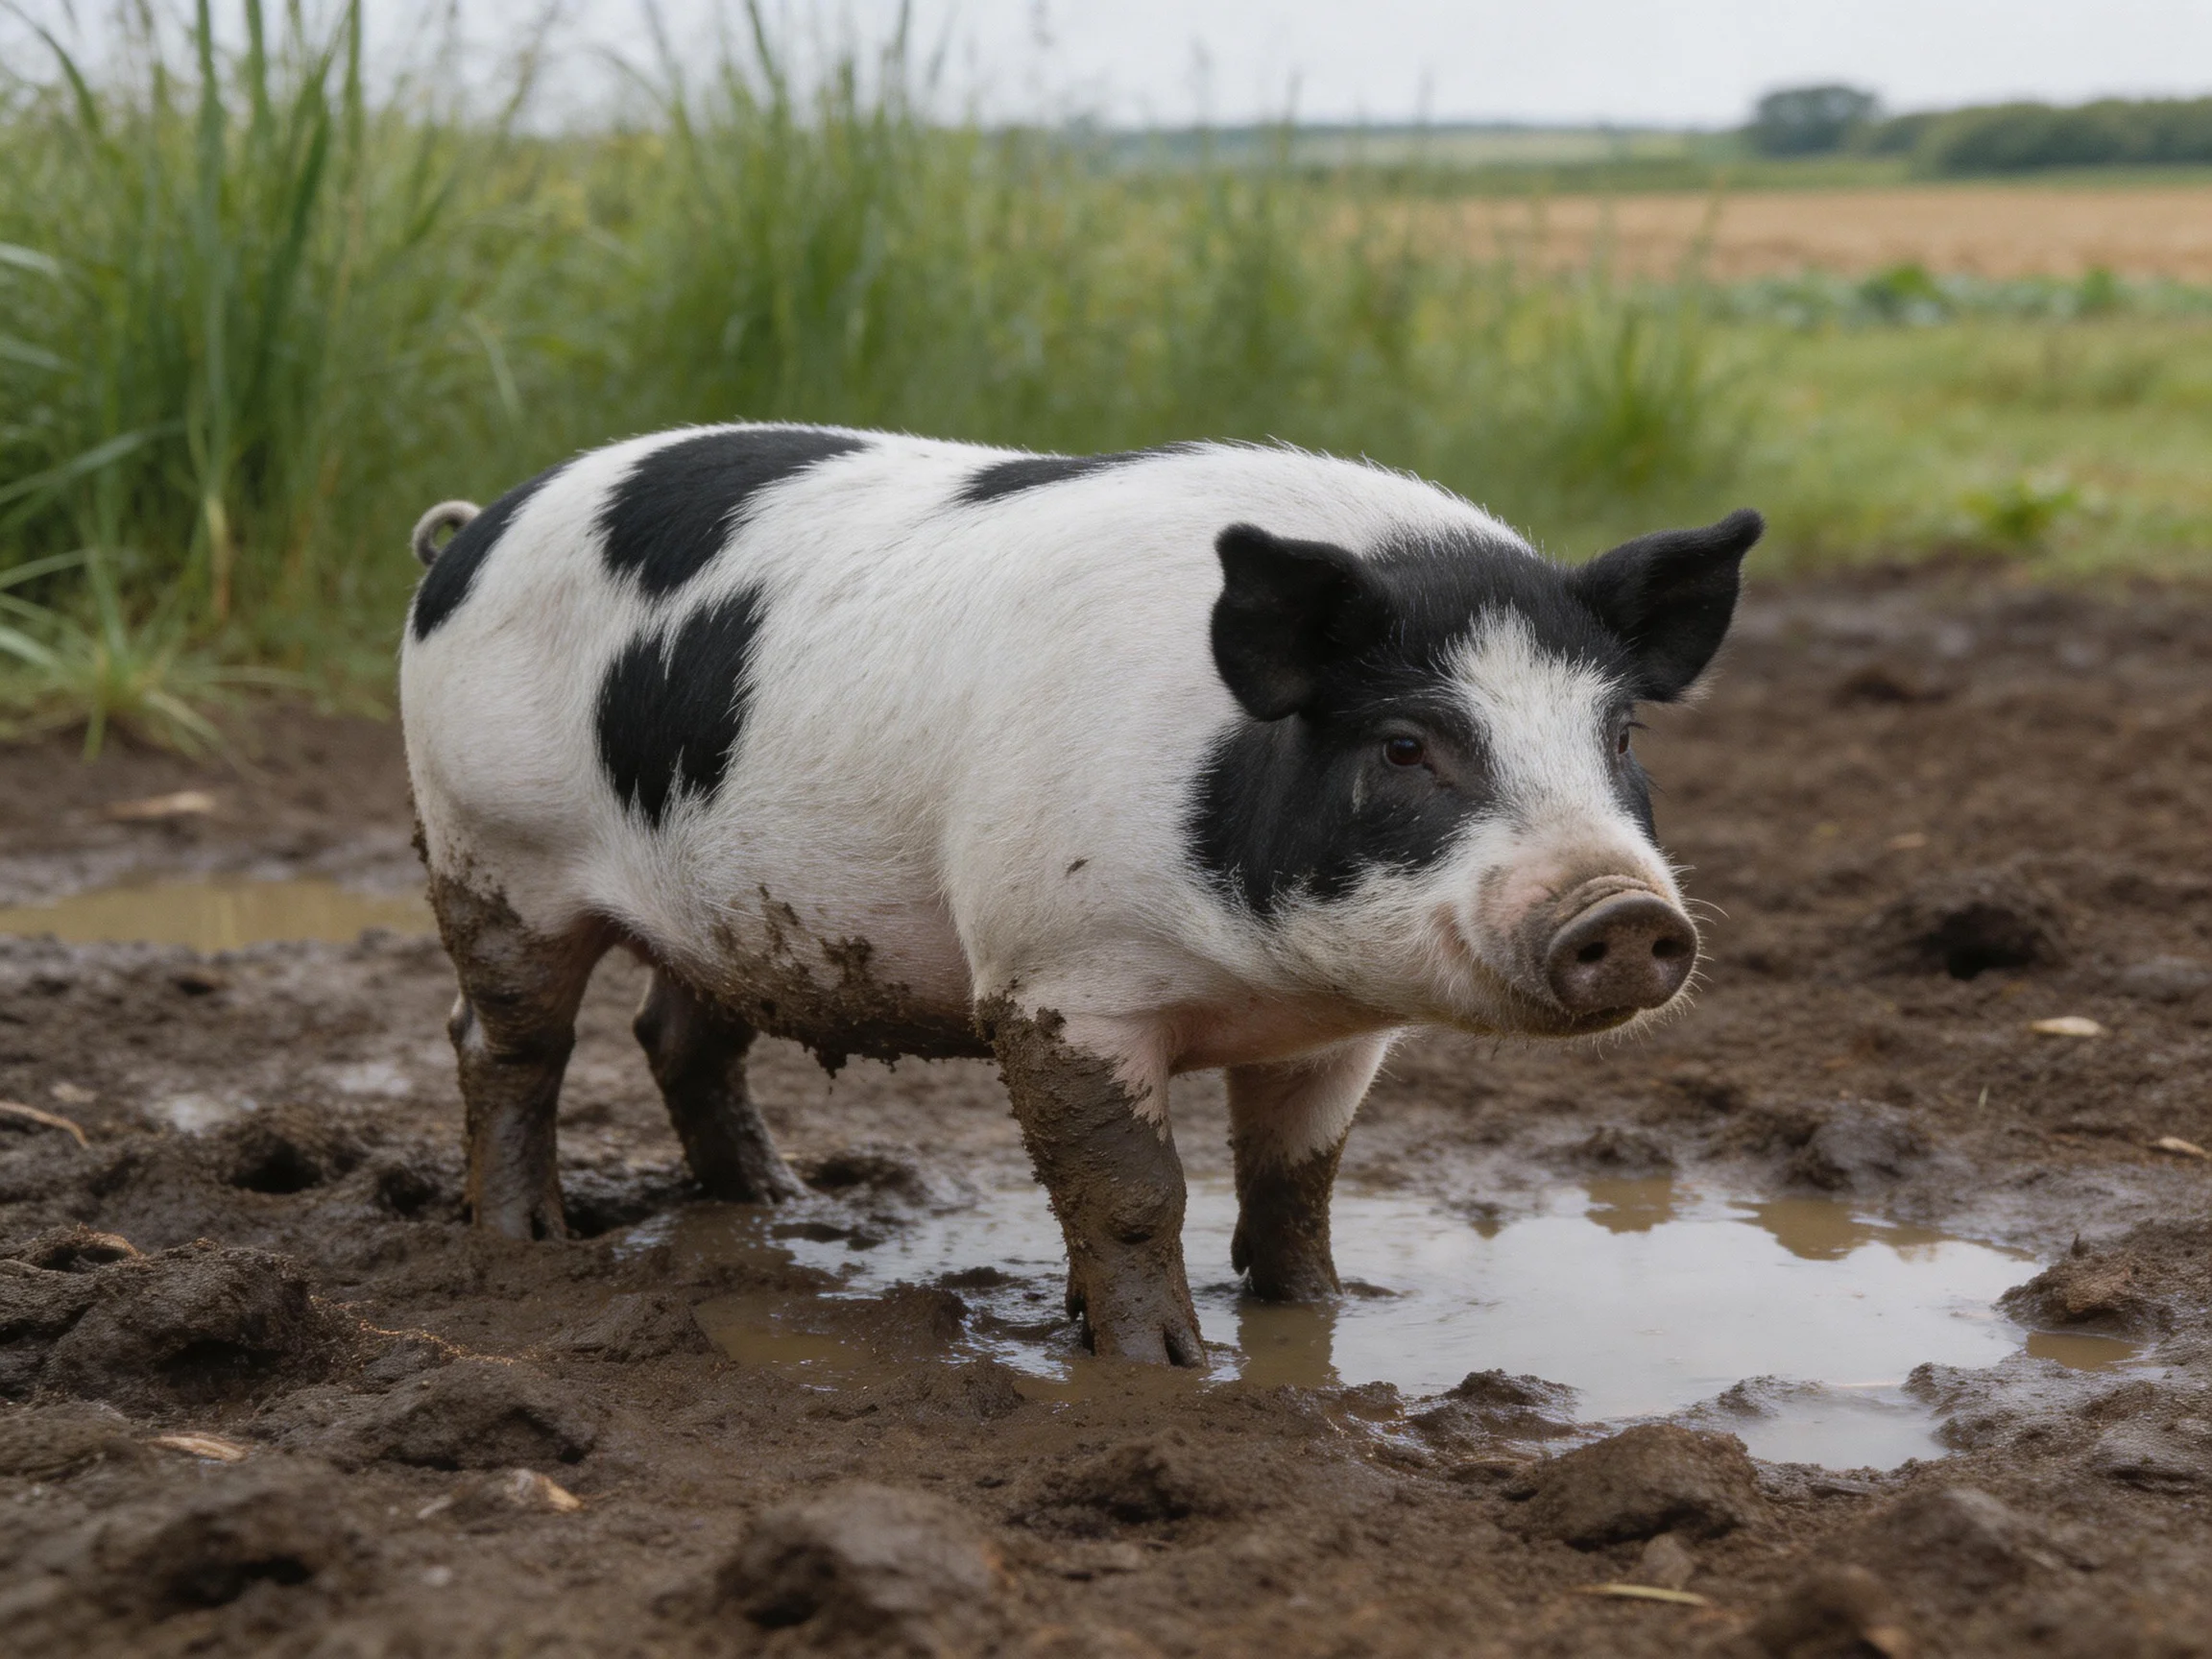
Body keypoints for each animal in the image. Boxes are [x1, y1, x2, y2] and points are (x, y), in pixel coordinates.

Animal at [400, 425, 1762, 1366]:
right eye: (1405, 745)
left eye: (1621, 733)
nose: (1622, 914)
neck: (1256, 979)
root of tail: (470, 532)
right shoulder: (1061, 972)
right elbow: (1130, 1189)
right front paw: (1162, 1367)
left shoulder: (1338, 1037)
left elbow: (1298, 1184)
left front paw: (1319, 1315)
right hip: (491, 844)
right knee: (504, 1040)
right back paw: (530, 1241)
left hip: (722, 904)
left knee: (676, 1033)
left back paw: (781, 1205)